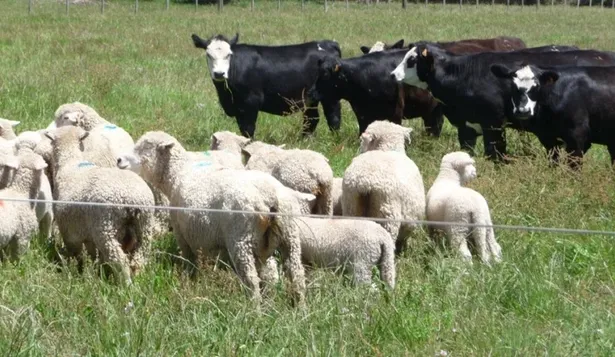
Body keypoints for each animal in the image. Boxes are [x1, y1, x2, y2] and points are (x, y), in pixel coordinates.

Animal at [44, 126, 158, 286]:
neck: (70, 163)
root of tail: (131, 199)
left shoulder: (69, 231)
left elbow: (76, 256)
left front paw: (77, 270)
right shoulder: (87, 233)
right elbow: (93, 254)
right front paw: (98, 270)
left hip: (105, 227)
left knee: (119, 259)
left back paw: (126, 285)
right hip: (144, 224)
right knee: (140, 256)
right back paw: (138, 278)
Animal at [126, 131, 308, 304]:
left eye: (146, 146)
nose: (120, 160)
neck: (178, 172)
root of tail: (269, 196)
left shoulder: (182, 234)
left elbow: (190, 261)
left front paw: (190, 279)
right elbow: (269, 274)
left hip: (241, 239)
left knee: (251, 280)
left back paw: (254, 310)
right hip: (289, 236)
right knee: (297, 275)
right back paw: (299, 308)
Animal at [192, 33, 344, 139]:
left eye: (228, 55)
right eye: (208, 54)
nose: (219, 73)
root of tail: (328, 43)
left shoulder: (251, 102)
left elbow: (248, 130)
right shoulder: (238, 108)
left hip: (330, 95)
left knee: (333, 118)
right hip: (310, 98)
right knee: (311, 119)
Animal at [404, 42, 615, 159]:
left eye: (411, 60)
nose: (396, 74)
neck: (464, 73)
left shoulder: (494, 124)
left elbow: (495, 153)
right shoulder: (467, 127)